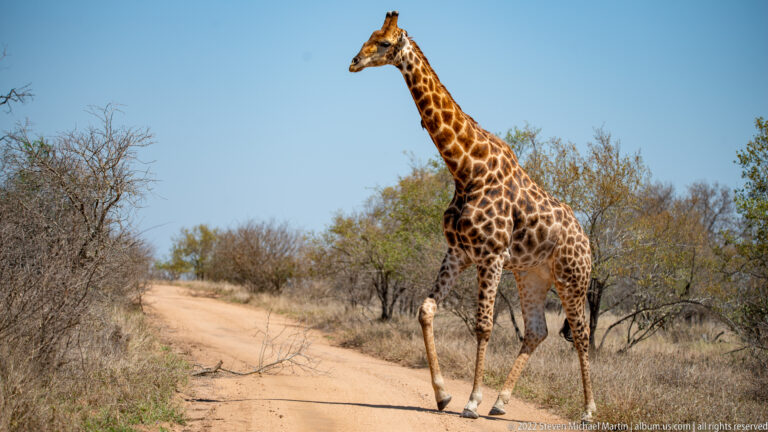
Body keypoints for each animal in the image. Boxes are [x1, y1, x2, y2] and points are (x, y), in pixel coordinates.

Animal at [349, 11, 596, 421]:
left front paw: (471, 401)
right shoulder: (459, 252)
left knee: (581, 333)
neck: (465, 168)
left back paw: (588, 410)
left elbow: (483, 326)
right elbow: (426, 310)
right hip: (532, 275)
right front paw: (443, 395)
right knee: (537, 331)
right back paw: (501, 402)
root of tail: (588, 241)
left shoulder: (491, 255)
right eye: (367, 36)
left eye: (383, 43)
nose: (353, 62)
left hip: (572, 279)